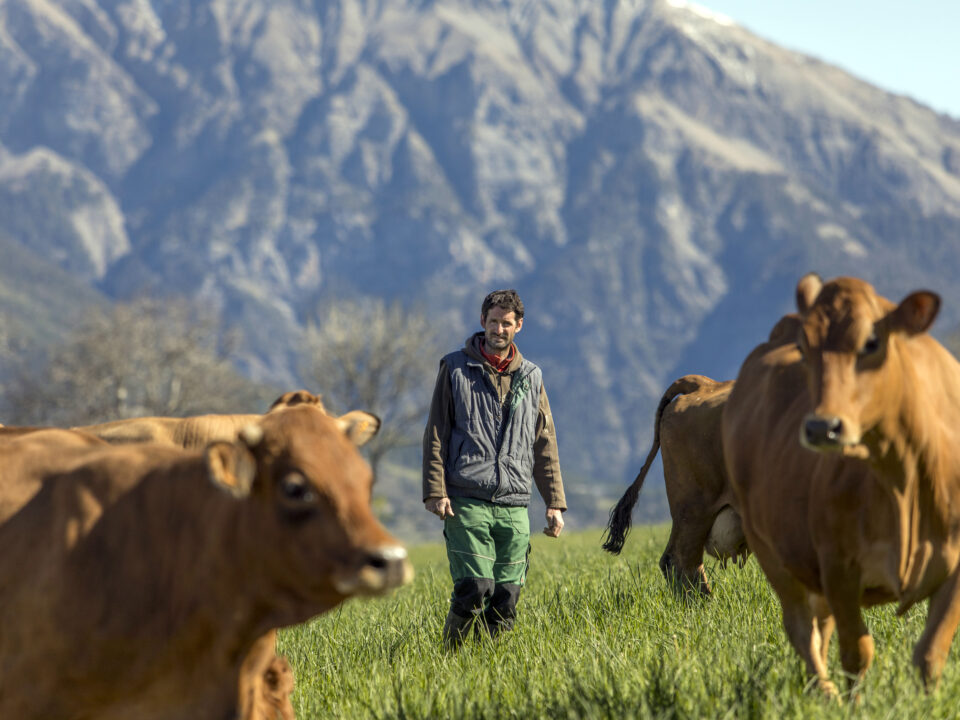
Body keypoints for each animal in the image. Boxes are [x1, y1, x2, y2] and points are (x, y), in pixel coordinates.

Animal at [724, 274, 960, 692]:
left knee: (820, 626)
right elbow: (857, 653)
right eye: (805, 348)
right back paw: (825, 693)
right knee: (801, 628)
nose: (822, 427)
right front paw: (854, 702)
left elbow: (931, 653)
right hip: (769, 547)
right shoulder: (837, 566)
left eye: (871, 342)